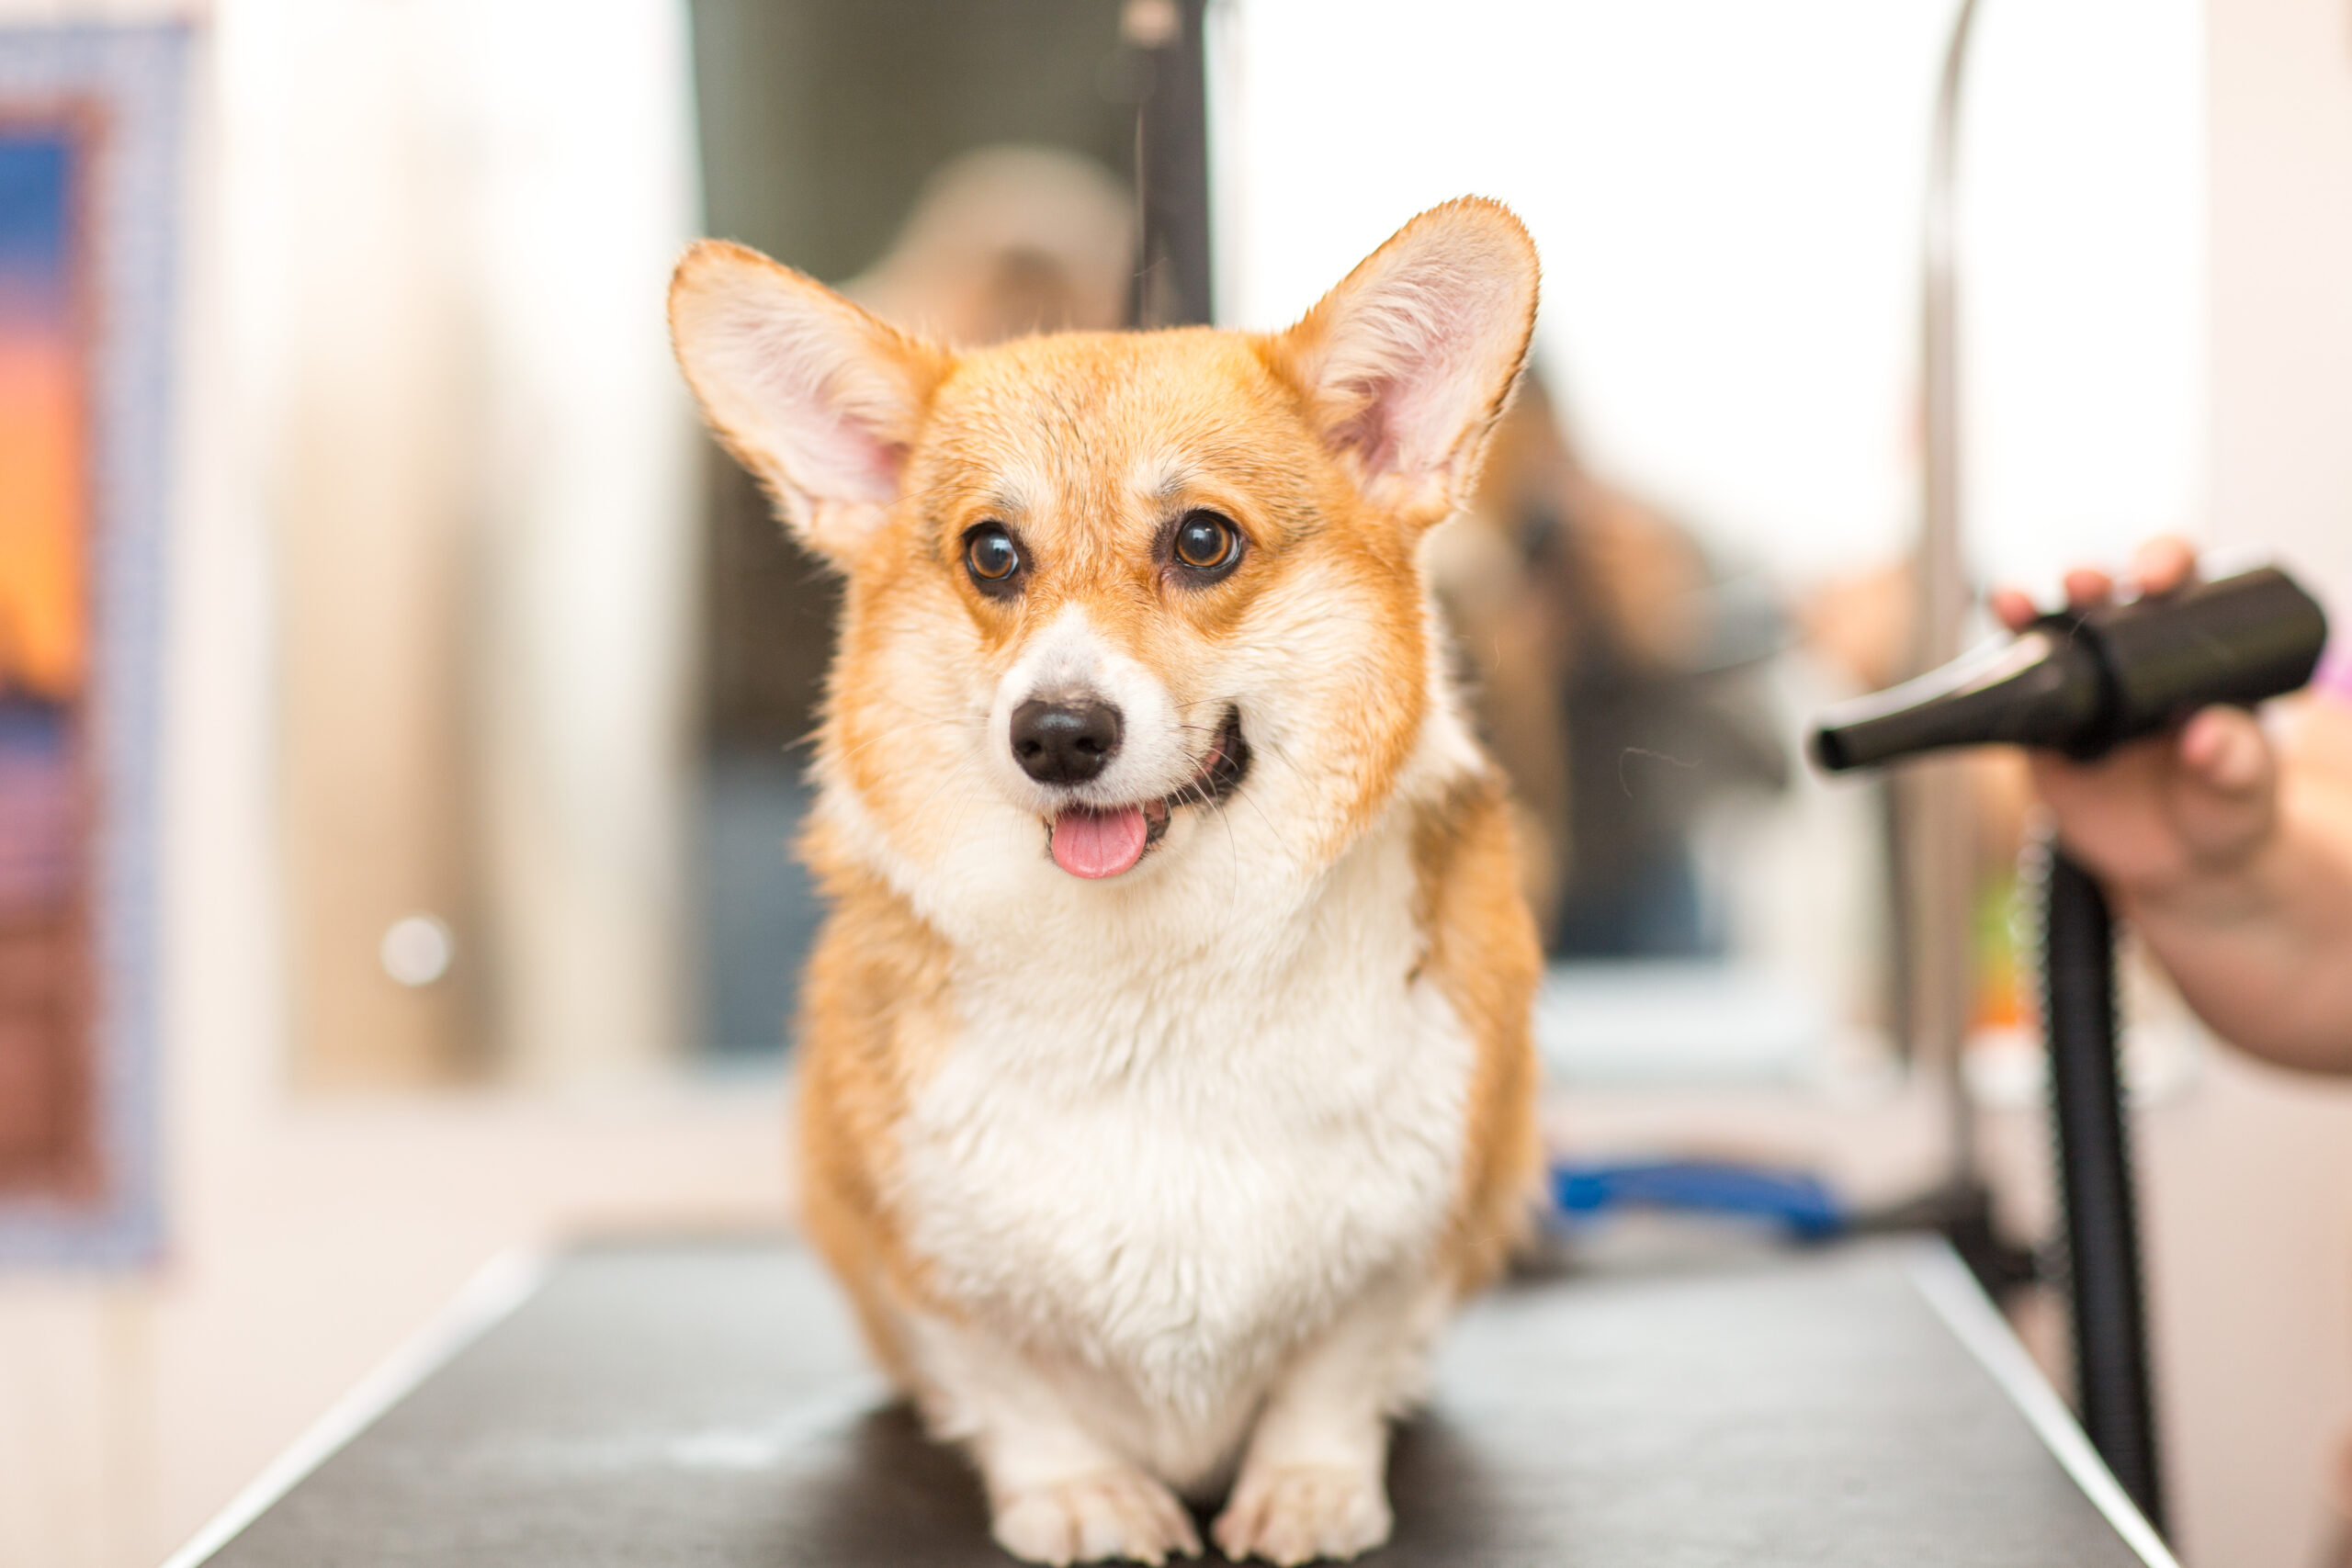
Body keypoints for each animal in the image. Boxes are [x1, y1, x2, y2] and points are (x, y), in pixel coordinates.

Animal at [662, 202, 1543, 1561]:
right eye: (990, 553)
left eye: (1203, 540)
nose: (1059, 732)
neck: (1148, 982)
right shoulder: (921, 1263)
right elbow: (1014, 1387)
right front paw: (1081, 1492)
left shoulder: (1415, 1240)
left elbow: (1335, 1370)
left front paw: (1308, 1484)